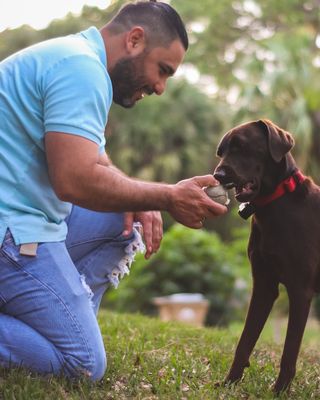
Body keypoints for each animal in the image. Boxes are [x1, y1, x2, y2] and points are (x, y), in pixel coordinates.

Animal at [212, 119, 320, 394]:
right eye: (221, 152)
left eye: (242, 147)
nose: (219, 175)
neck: (274, 205)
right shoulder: (263, 285)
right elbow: (245, 341)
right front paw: (230, 382)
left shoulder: (300, 290)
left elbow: (289, 351)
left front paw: (280, 390)